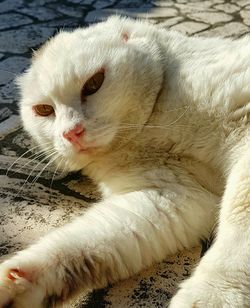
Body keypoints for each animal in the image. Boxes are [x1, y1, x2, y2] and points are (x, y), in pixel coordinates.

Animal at [0, 16, 250, 306]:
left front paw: (214, 295)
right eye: (43, 110)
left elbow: (240, 221)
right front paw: (16, 283)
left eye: (94, 83)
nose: (71, 133)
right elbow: (84, 241)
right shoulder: (173, 196)